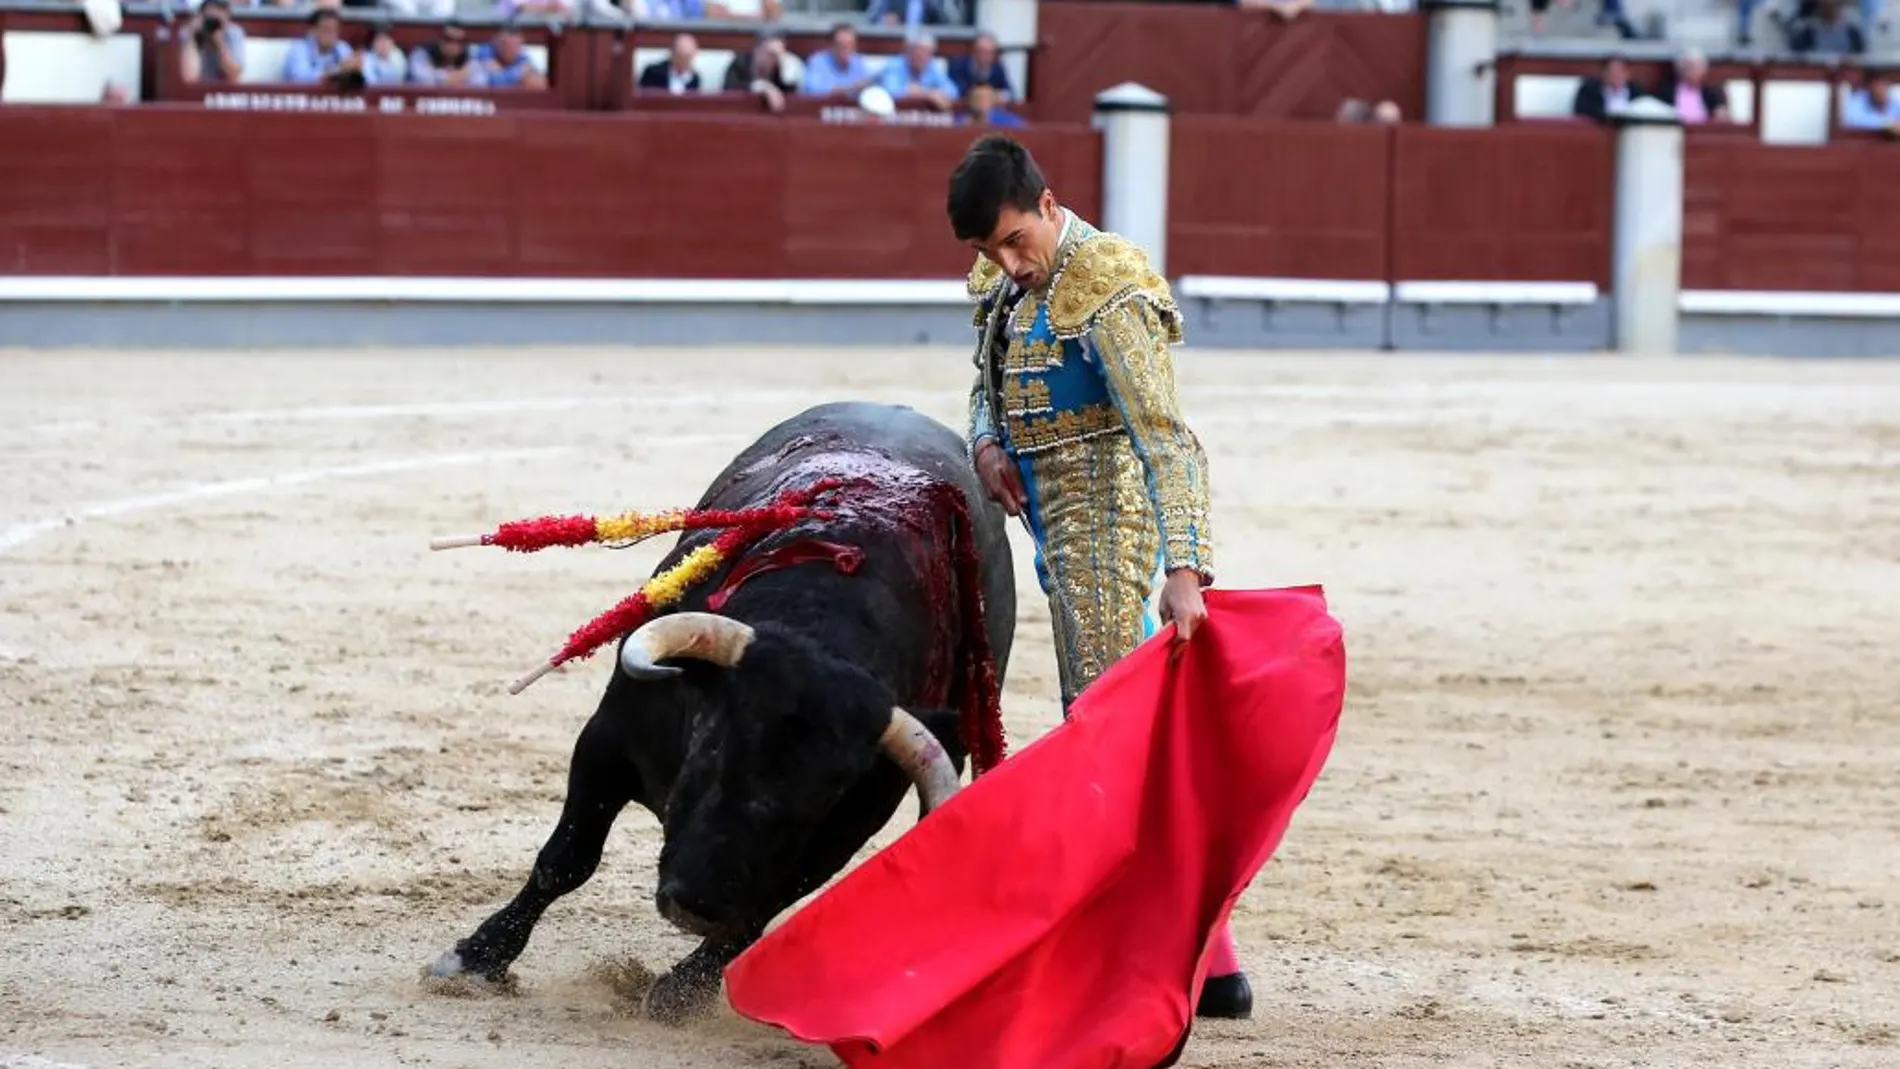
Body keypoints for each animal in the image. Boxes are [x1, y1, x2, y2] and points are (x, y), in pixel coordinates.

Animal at [429, 402, 1018, 1017]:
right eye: (713, 744)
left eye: (827, 792)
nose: (697, 905)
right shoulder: (606, 741)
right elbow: (567, 858)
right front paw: (477, 958)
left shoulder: (850, 822)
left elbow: (761, 909)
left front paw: (680, 993)